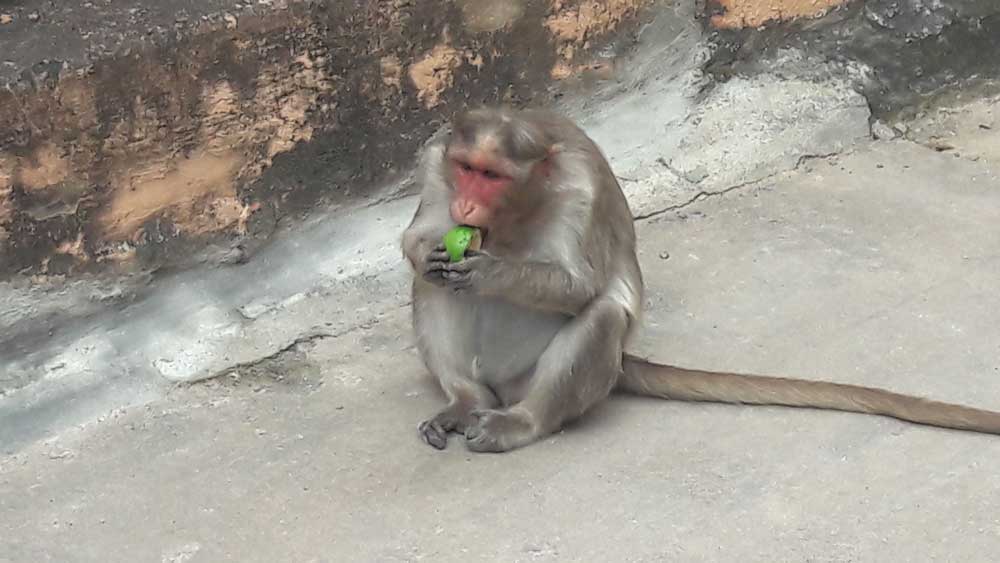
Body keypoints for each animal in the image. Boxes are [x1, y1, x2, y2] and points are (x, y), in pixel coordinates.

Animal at [398, 107, 1000, 454]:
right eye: (465, 169)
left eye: (492, 175)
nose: (466, 204)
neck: (516, 212)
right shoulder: (434, 165)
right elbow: (416, 244)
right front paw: (433, 249)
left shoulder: (579, 190)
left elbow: (582, 288)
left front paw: (491, 270)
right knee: (428, 288)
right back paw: (463, 400)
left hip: (545, 379)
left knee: (602, 317)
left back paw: (523, 423)